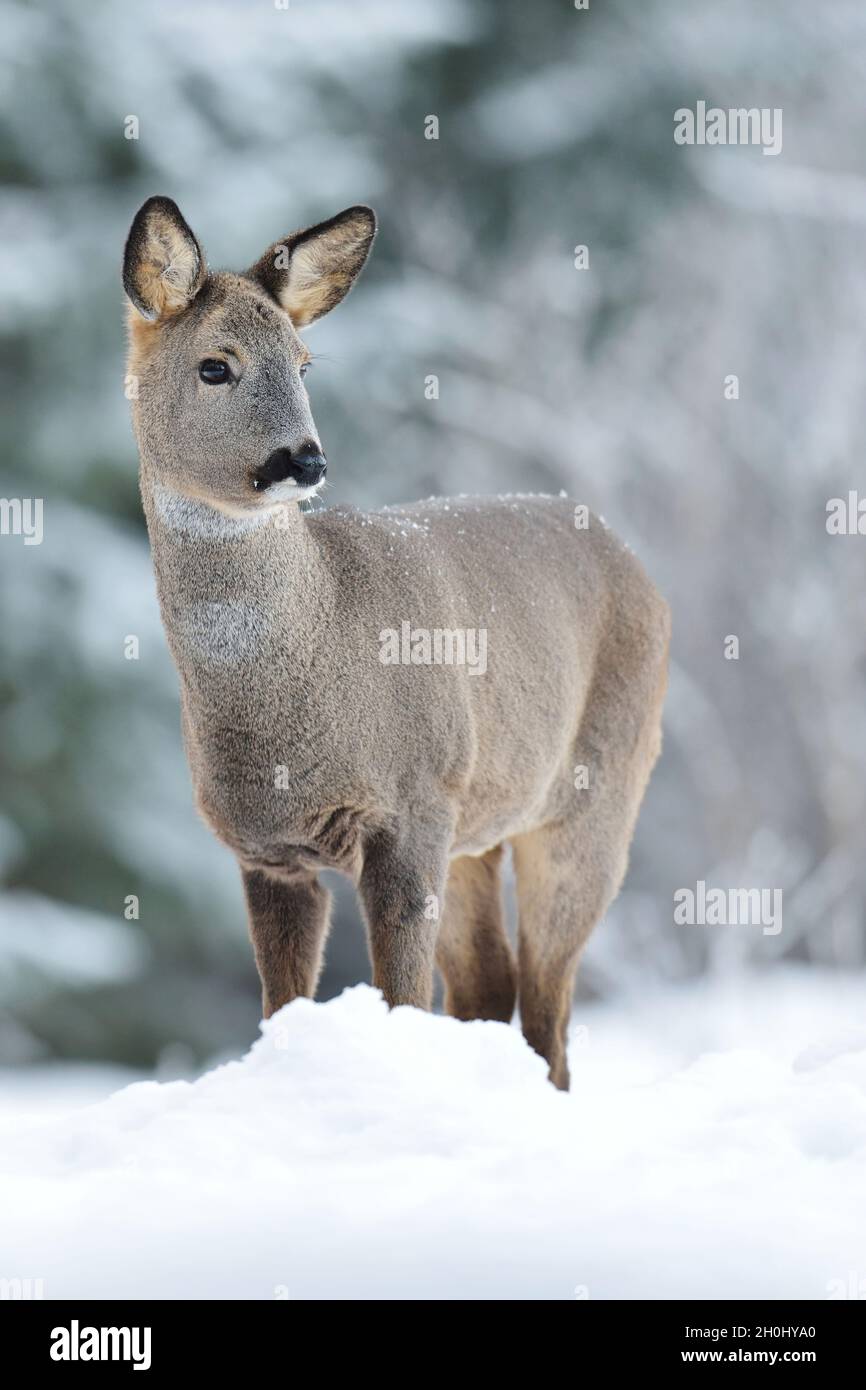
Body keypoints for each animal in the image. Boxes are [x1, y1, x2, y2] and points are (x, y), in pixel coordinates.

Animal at [122, 195, 670, 1089]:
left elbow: (403, 1000)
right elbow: (281, 1009)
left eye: (306, 364)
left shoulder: (412, 807)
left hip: (595, 795)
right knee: (491, 982)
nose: (304, 460)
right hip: (478, 823)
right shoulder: (266, 850)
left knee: (548, 1000)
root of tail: (635, 562)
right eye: (215, 366)